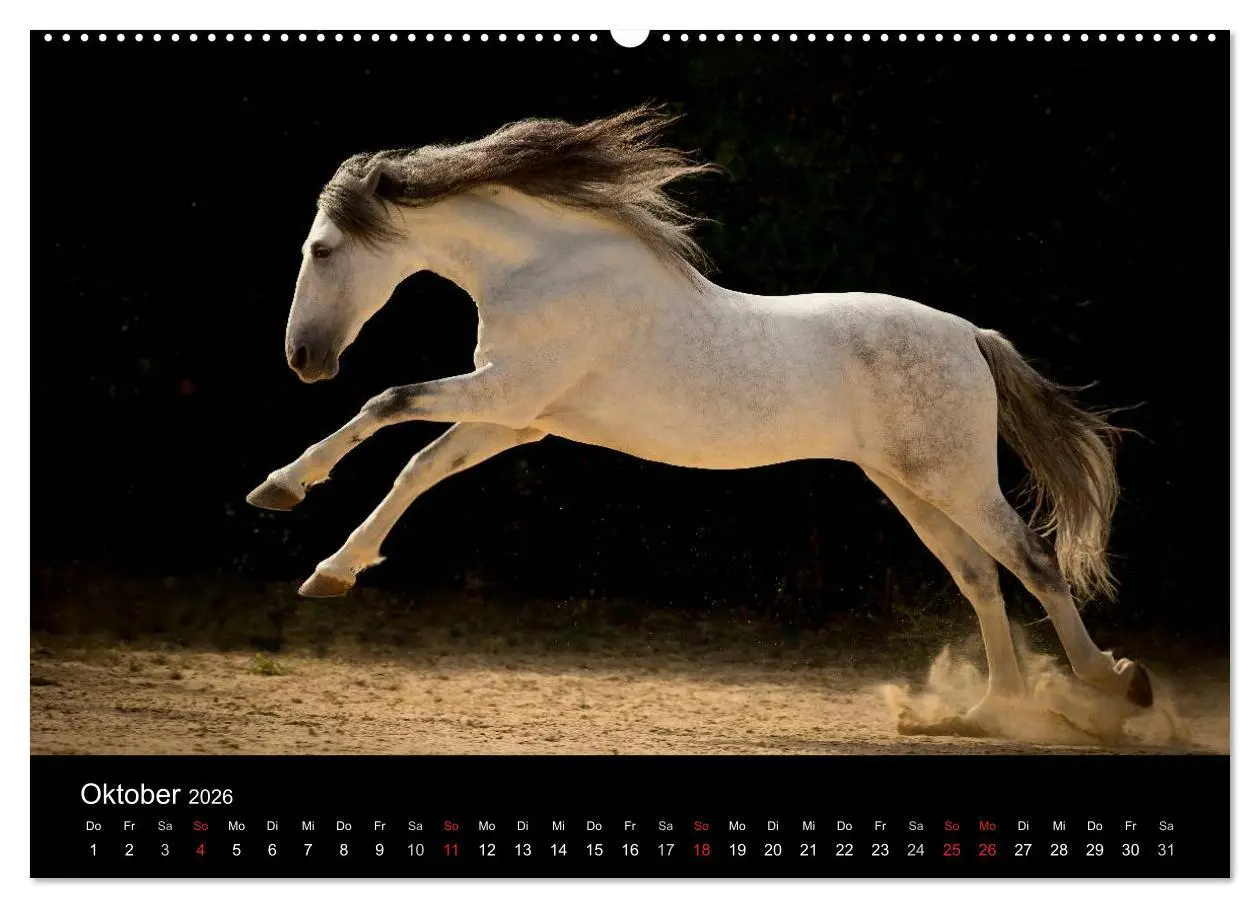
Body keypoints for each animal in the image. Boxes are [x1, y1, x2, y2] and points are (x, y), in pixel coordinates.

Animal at [246, 104, 1153, 732]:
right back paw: (988, 713)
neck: (547, 268)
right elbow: (418, 466)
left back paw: (1114, 684)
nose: (303, 359)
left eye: (321, 250)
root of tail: (970, 335)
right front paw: (330, 568)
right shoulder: (516, 415)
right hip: (912, 486)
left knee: (1032, 559)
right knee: (979, 577)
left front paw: (281, 491)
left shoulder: (505, 395)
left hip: (954, 479)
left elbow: (386, 403)